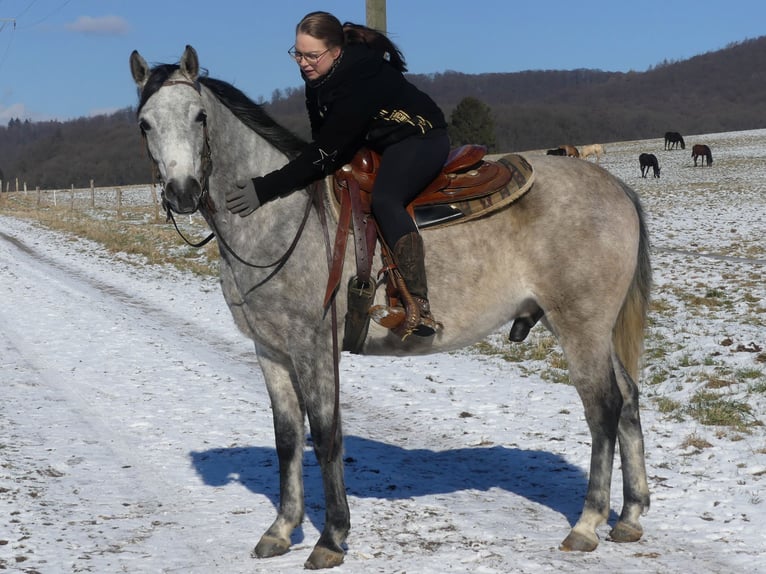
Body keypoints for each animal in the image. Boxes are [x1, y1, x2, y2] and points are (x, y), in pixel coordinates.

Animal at [132, 45, 656, 572]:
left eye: (199, 116)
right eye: (145, 123)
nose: (182, 192)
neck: (278, 213)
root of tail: (615, 188)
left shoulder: (313, 346)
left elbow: (325, 434)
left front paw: (331, 537)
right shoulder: (271, 350)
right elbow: (287, 439)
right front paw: (280, 530)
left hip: (580, 326)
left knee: (603, 408)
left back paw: (587, 524)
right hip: (595, 329)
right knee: (629, 399)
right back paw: (630, 516)